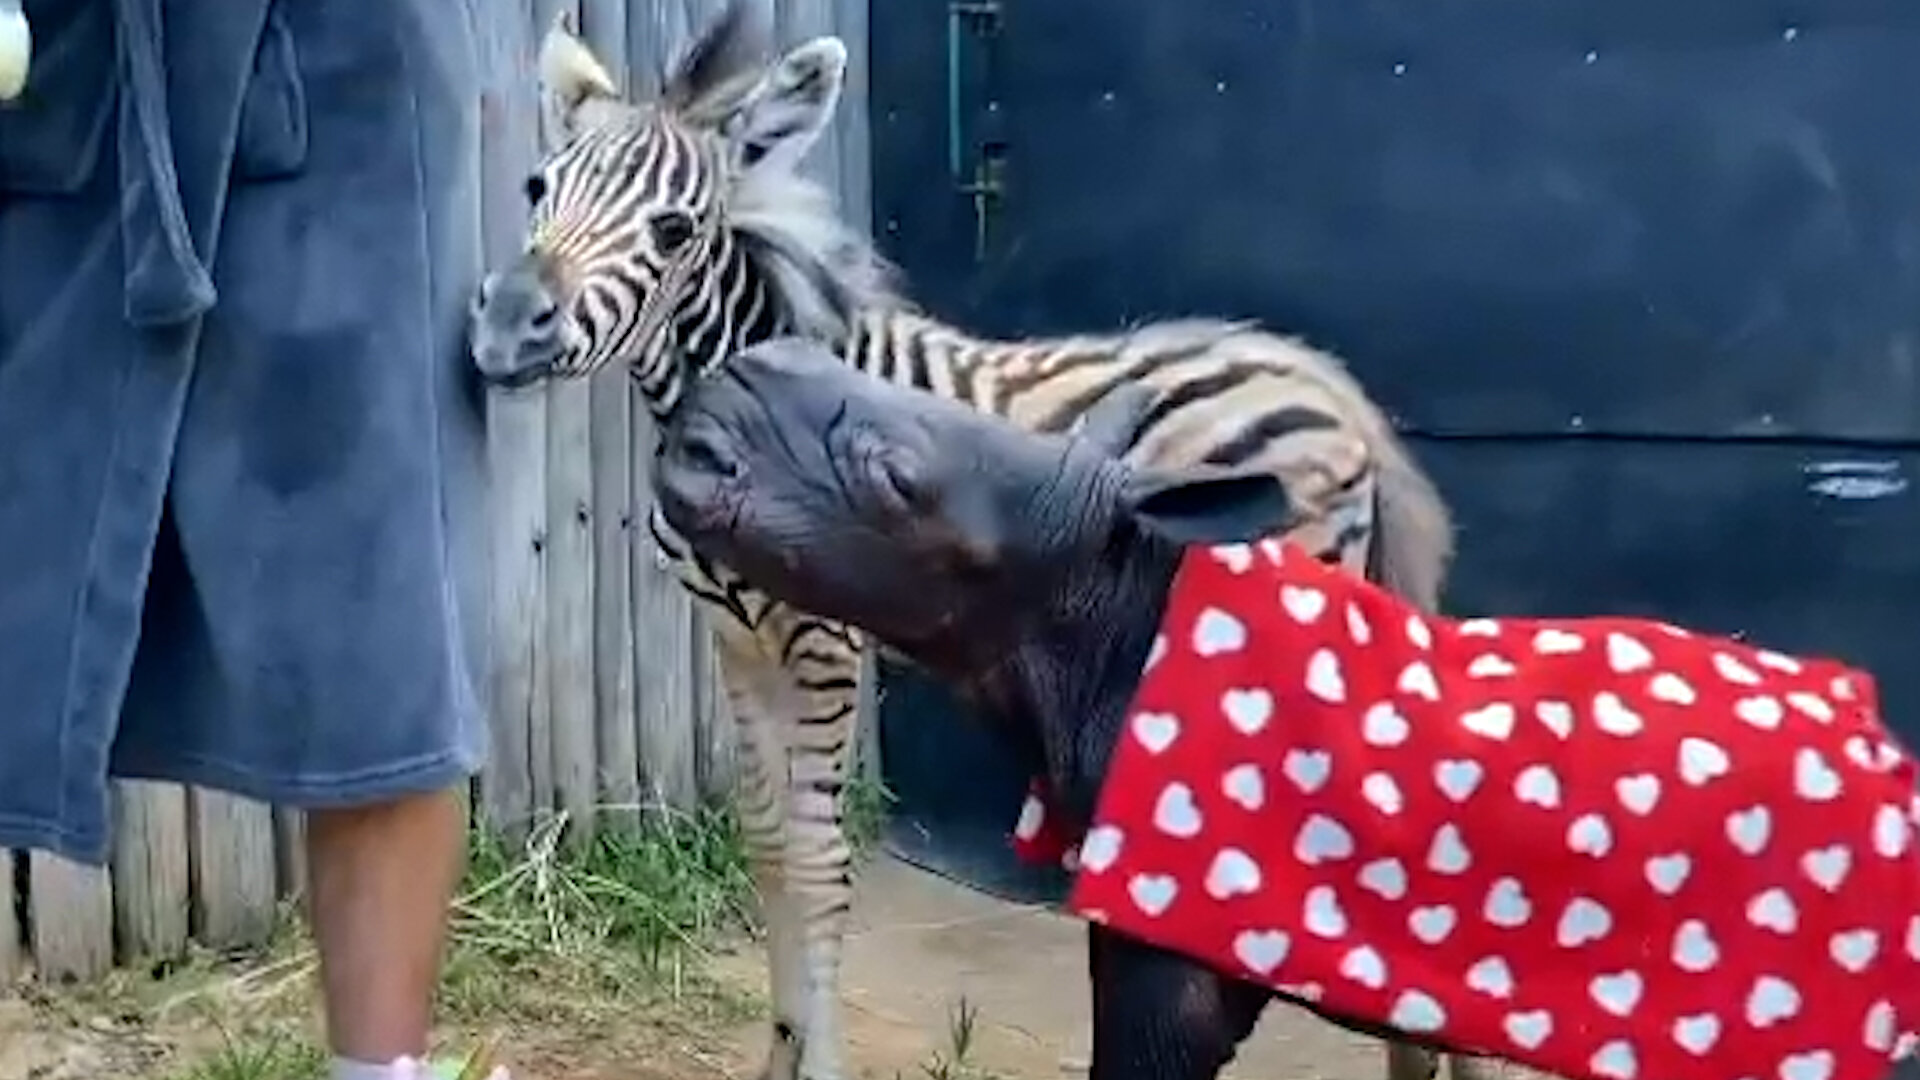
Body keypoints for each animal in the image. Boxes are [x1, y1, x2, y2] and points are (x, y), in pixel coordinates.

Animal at [469, 6, 1488, 1080]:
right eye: (537, 187)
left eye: (673, 230)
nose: (504, 332)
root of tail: (1337, 392)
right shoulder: (737, 641)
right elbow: (770, 844)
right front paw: (781, 1049)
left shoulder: (823, 642)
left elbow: (820, 860)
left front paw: (818, 1063)